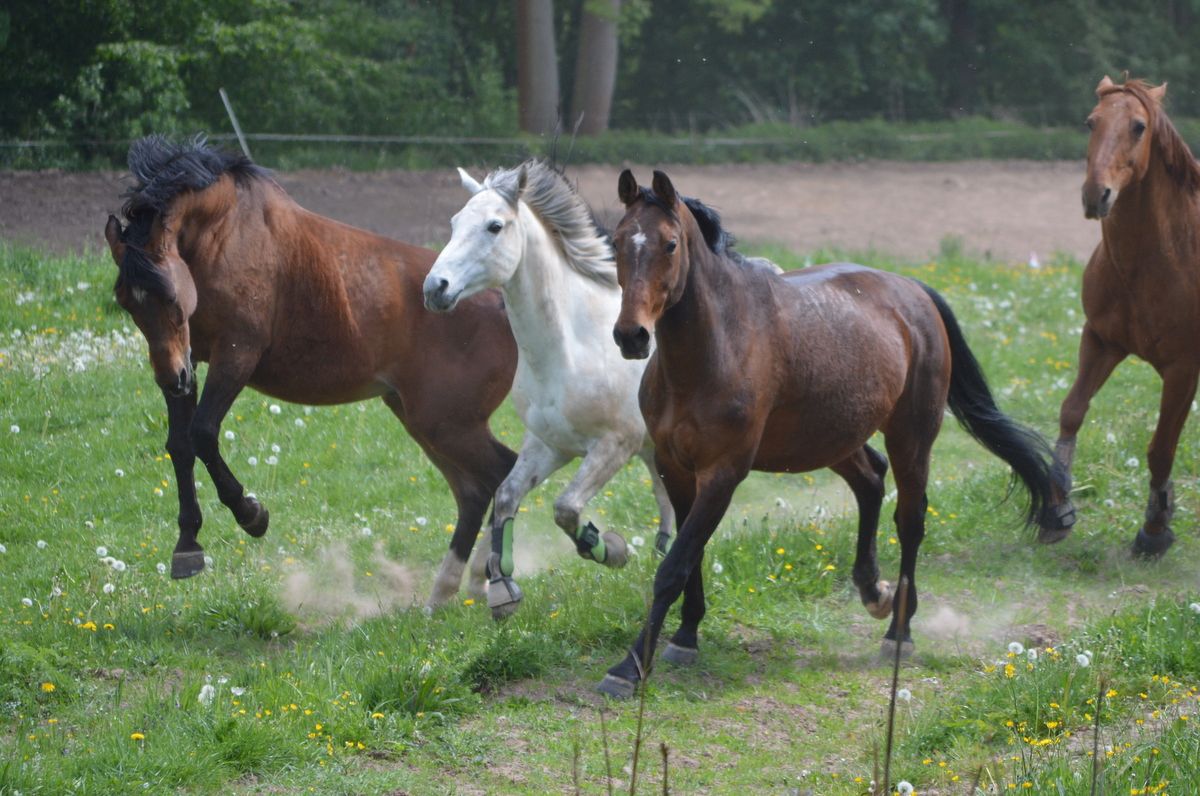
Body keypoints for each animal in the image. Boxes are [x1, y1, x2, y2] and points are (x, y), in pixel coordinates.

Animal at [102, 135, 518, 610]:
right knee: (476, 490)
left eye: (171, 297)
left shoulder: (236, 354)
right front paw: (187, 545)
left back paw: (489, 582)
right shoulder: (190, 357)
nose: (170, 378)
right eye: (126, 301)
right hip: (423, 419)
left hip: (447, 422)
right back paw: (452, 589)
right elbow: (180, 445)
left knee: (501, 472)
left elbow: (203, 433)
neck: (223, 236)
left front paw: (252, 515)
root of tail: (500, 304)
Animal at [422, 160, 675, 618]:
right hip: (655, 447)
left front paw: (612, 550)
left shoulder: (614, 444)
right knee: (664, 493)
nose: (435, 288)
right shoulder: (549, 445)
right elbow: (506, 497)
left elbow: (566, 508)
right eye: (453, 223)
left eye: (495, 226)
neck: (569, 348)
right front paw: (502, 588)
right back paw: (663, 553)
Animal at [597, 169, 1059, 698]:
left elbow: (674, 565)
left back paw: (898, 631)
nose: (631, 336)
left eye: (670, 244)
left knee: (910, 519)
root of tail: (914, 291)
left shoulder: (723, 473)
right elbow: (690, 556)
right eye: (617, 241)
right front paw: (686, 637)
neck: (715, 350)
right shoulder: (675, 468)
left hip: (911, 435)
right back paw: (873, 590)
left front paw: (628, 667)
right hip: (831, 437)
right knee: (871, 479)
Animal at [1037, 76, 1200, 557]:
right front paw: (1057, 512)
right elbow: (1072, 411)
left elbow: (1161, 447)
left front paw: (1154, 528)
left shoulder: (1183, 368)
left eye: (1139, 126)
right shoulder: (1101, 341)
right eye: (1091, 122)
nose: (1096, 194)